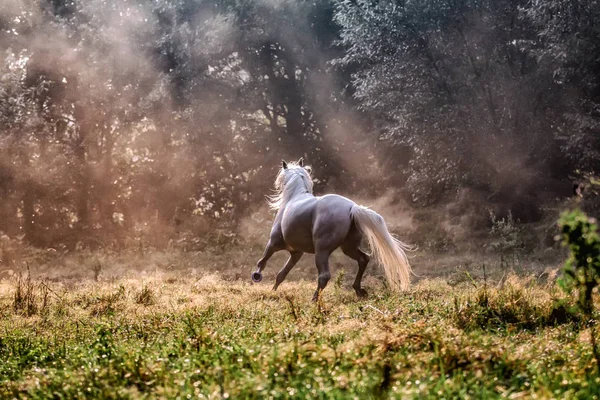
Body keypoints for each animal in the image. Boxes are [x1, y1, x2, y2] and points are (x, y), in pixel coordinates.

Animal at [252, 158, 412, 298]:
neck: (293, 198)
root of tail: (352, 207)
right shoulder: (296, 253)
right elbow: (281, 274)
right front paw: (273, 292)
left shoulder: (273, 244)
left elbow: (262, 261)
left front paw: (257, 276)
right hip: (348, 248)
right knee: (363, 259)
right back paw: (358, 290)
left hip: (322, 251)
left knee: (324, 276)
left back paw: (315, 300)